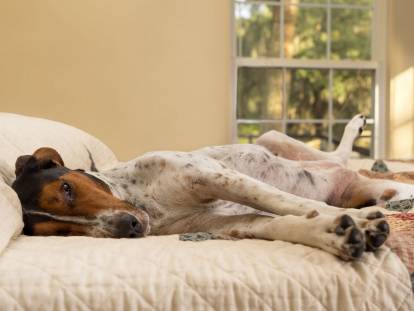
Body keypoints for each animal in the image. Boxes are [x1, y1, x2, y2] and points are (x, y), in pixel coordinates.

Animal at [12, 114, 410, 260]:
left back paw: (356, 129)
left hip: (269, 136)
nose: (131, 227)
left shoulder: (215, 176)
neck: (145, 202)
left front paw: (356, 220)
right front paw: (338, 233)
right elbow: (285, 221)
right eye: (59, 232)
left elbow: (289, 202)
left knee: (337, 156)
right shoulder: (225, 225)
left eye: (67, 188)